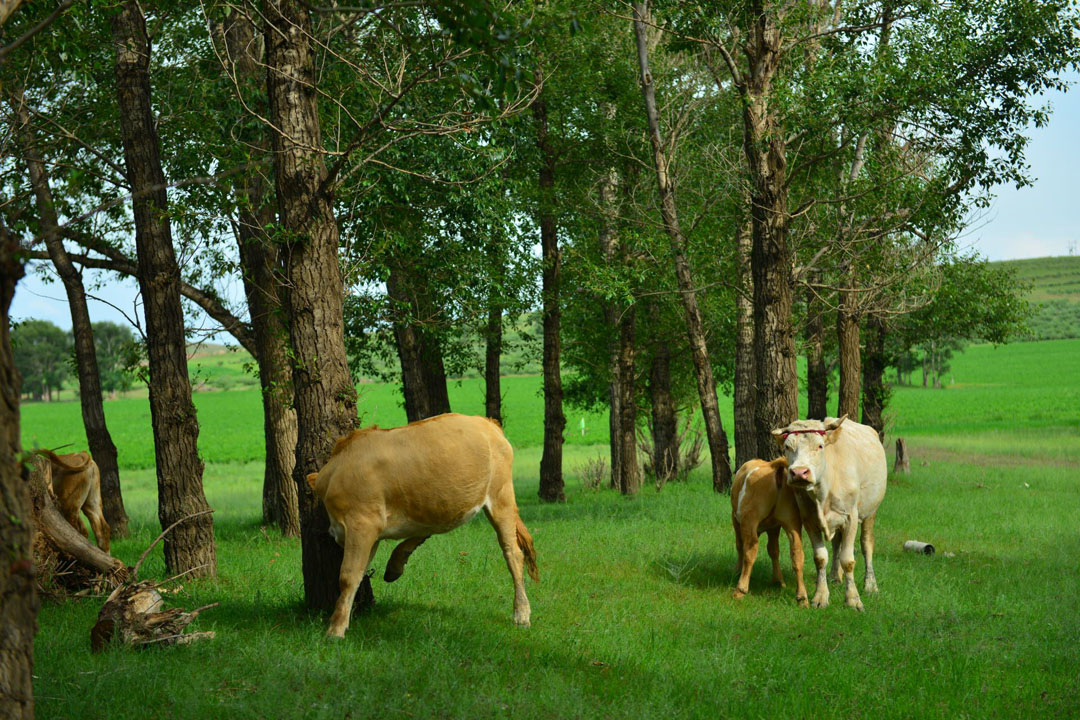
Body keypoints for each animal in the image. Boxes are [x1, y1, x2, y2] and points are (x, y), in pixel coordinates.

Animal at [304, 414, 540, 639]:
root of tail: (487, 422)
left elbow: (348, 575)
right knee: (430, 527)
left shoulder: (362, 524)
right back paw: (396, 562)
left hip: (501, 497)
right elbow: (359, 573)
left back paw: (521, 614)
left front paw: (335, 629)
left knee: (513, 553)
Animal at [730, 455, 807, 608]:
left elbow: (740, 546)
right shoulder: (774, 527)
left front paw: (737, 571)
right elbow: (774, 550)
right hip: (792, 521)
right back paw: (802, 597)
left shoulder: (735, 519)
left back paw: (740, 590)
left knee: (750, 550)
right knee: (797, 553)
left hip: (749, 520)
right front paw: (778, 580)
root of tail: (773, 466)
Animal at [773, 414, 889, 613]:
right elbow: (820, 557)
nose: (799, 472)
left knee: (867, 544)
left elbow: (848, 559)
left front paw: (853, 599)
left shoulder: (850, 517)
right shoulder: (809, 520)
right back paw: (835, 576)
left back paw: (870, 585)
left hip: (871, 511)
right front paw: (820, 596)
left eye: (820, 446)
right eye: (787, 447)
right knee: (836, 544)